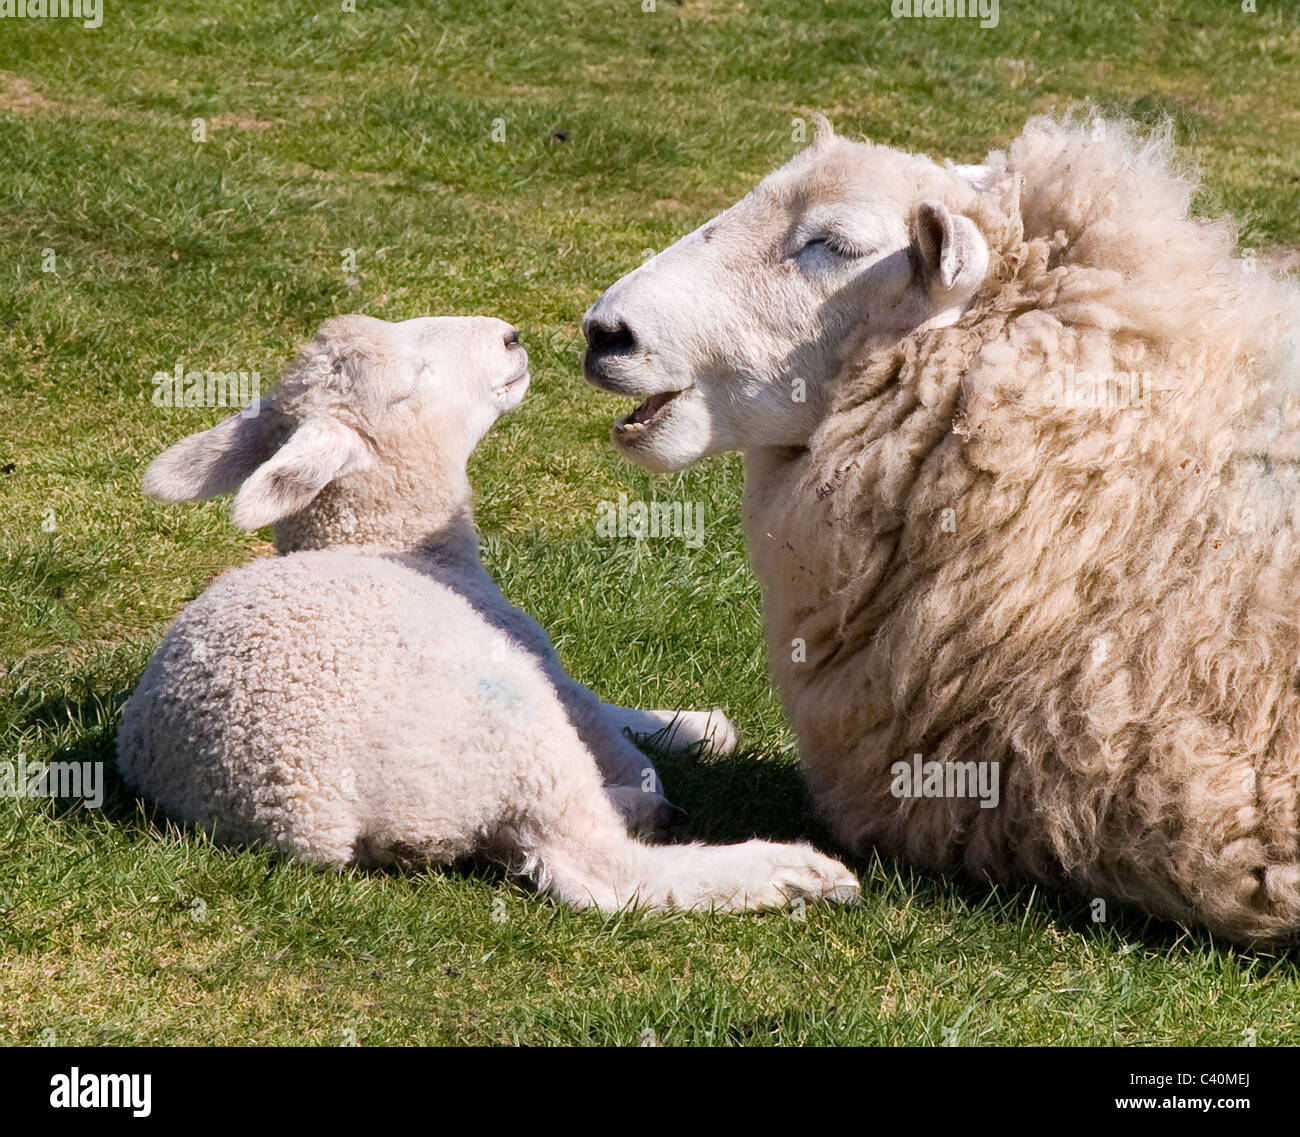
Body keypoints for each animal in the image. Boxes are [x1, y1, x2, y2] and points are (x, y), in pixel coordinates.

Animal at [116, 313, 857, 914]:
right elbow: (604, 716)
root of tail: (306, 811)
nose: (509, 336)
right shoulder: (536, 658)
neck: (383, 541)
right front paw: (691, 729)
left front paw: (684, 728)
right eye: (412, 378)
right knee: (600, 868)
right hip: (506, 722)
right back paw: (786, 867)